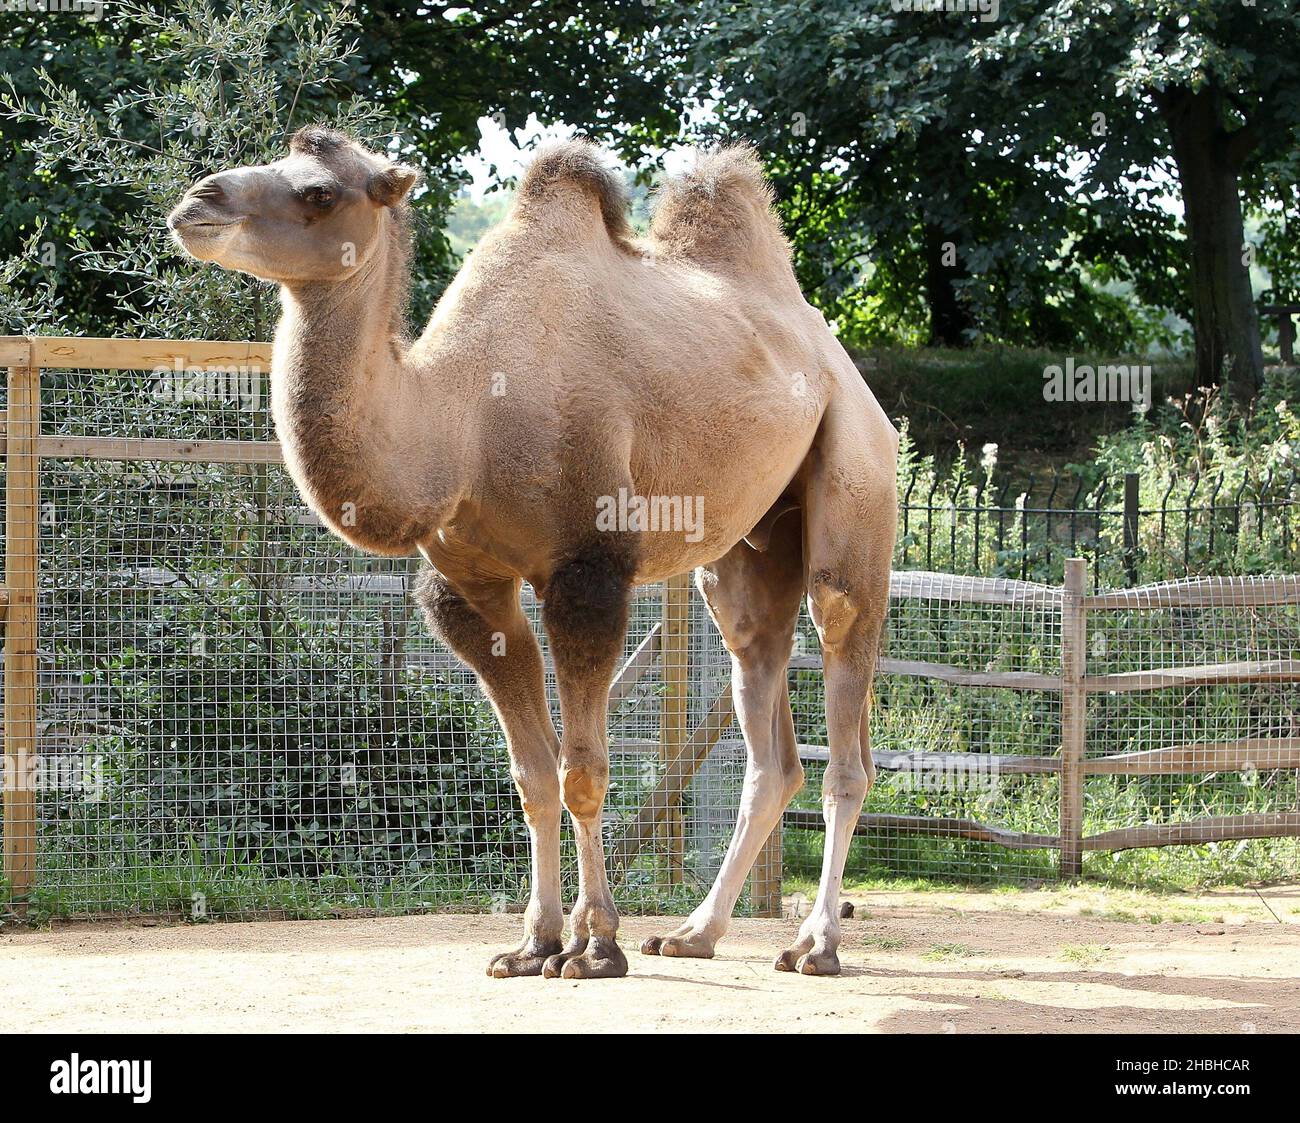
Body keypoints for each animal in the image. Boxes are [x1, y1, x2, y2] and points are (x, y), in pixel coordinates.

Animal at [170, 127, 894, 977]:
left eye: (319, 191)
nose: (197, 202)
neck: (461, 421)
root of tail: (835, 356)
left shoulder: (587, 571)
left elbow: (584, 772)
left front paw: (595, 945)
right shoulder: (471, 589)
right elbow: (533, 775)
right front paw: (534, 940)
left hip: (853, 470)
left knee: (845, 695)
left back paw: (816, 942)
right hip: (749, 548)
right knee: (765, 711)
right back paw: (693, 932)